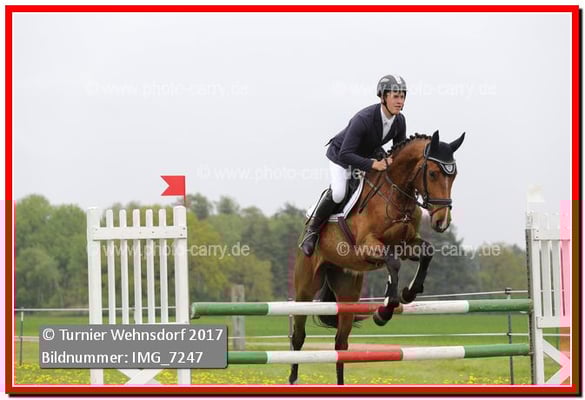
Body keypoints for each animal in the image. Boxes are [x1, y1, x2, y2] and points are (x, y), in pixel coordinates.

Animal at [288, 131, 465, 385]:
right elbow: (393, 263)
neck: (395, 196)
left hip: (347, 291)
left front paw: (408, 293)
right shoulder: (367, 246)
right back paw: (293, 378)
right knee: (298, 335)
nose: (442, 222)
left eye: (454, 175)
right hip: (305, 287)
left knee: (341, 344)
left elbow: (427, 253)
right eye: (432, 173)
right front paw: (384, 311)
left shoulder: (406, 245)